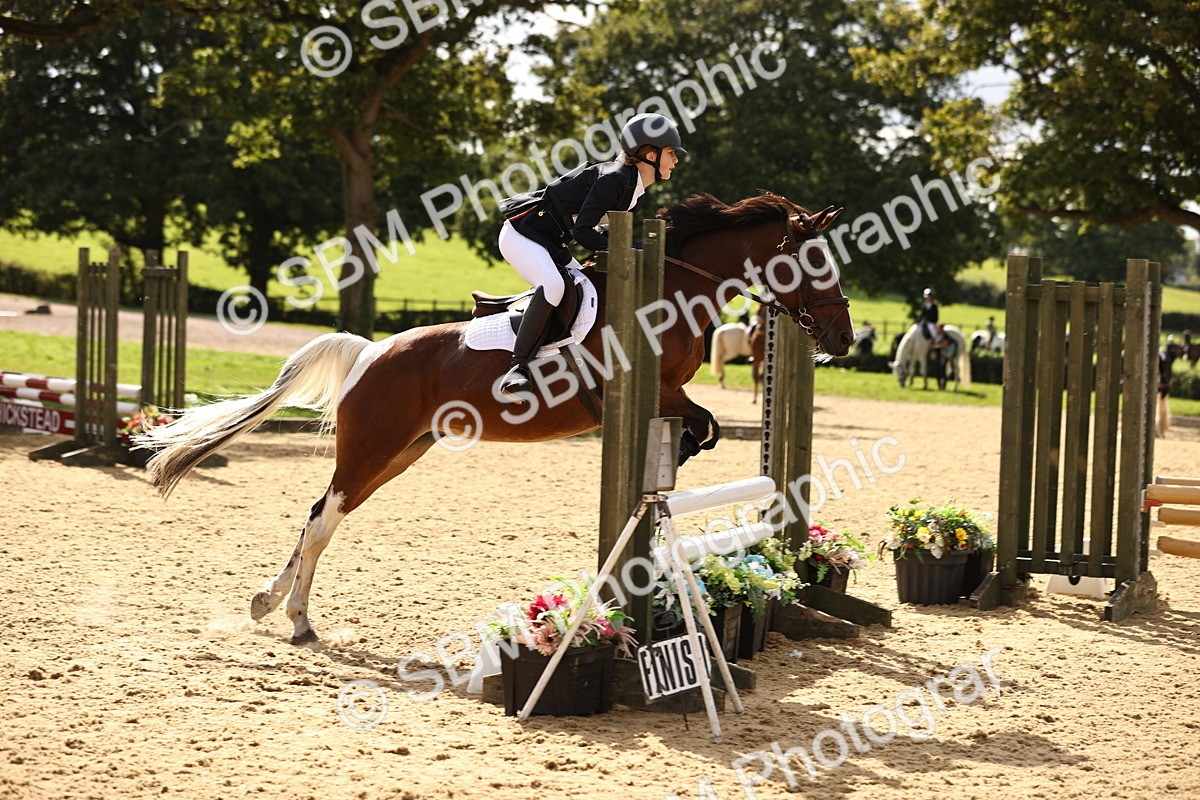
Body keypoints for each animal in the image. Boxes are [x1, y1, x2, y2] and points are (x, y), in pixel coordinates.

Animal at [137, 193, 856, 644]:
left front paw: (668, 473)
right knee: (322, 519)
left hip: (400, 454)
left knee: (324, 514)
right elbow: (702, 423)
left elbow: (704, 428)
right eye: (814, 261)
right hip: (372, 448)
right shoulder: (645, 390)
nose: (845, 339)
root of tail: (371, 352)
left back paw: (276, 607)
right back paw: (294, 618)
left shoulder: (669, 393)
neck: (675, 288)